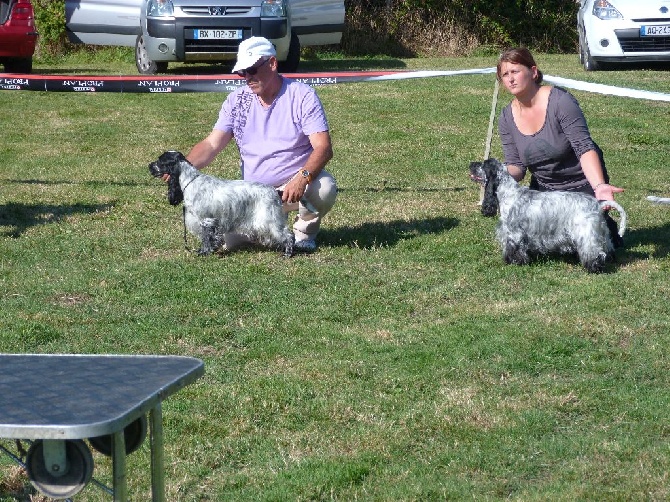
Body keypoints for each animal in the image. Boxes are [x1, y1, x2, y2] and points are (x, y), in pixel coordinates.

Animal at [151, 150, 296, 256]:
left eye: (160, 161)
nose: (149, 166)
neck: (190, 181)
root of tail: (275, 191)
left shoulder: (206, 220)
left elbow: (206, 238)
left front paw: (204, 252)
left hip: (270, 220)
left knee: (288, 235)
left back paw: (287, 253)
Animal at [470, 158, 628, 272]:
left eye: (482, 165)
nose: (471, 164)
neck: (509, 194)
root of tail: (597, 204)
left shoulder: (513, 233)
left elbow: (514, 249)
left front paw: (515, 262)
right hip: (602, 232)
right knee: (608, 247)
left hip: (586, 233)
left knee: (595, 253)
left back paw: (594, 268)